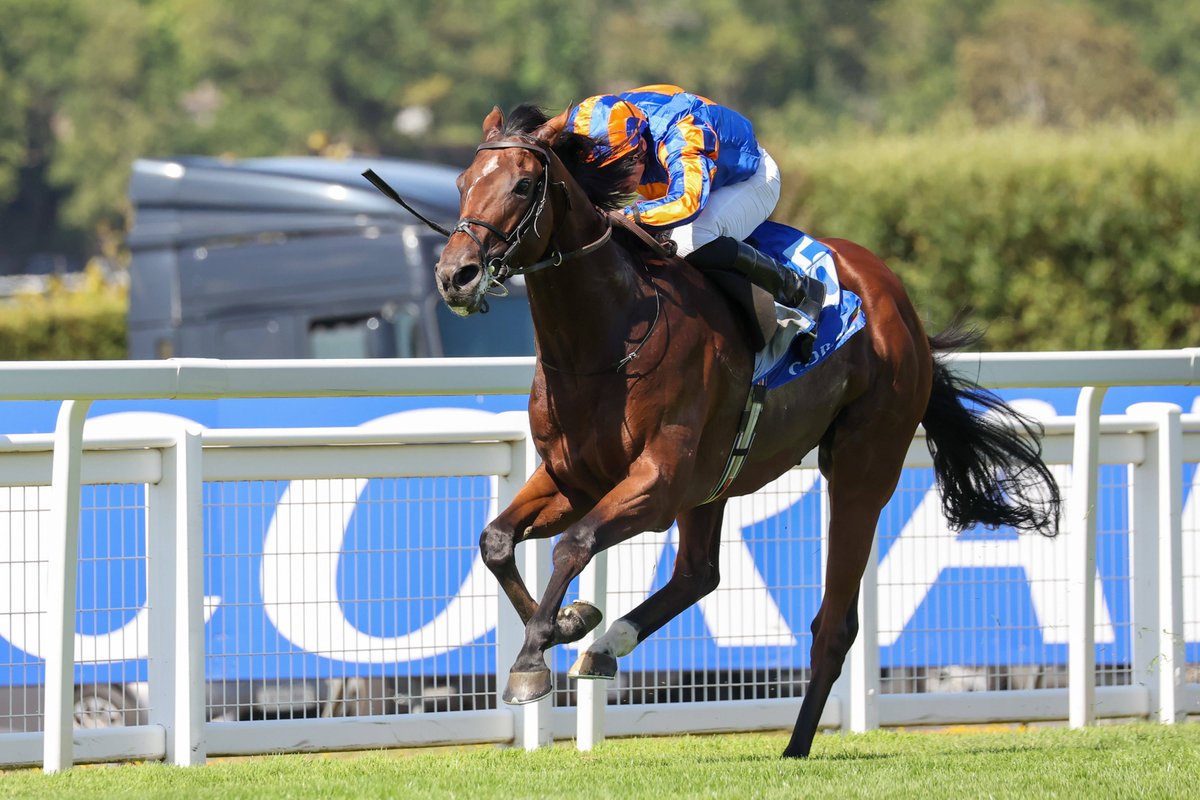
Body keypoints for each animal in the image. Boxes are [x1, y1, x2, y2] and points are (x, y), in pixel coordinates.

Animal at [424, 104, 1060, 758]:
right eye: (463, 183)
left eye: (524, 185)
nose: (456, 275)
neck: (607, 339)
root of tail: (899, 303)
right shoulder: (574, 477)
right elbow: (496, 541)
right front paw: (568, 623)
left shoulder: (657, 482)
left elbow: (574, 544)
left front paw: (532, 658)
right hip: (714, 481)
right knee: (698, 573)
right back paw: (607, 645)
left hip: (862, 466)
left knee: (833, 622)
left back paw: (796, 746)